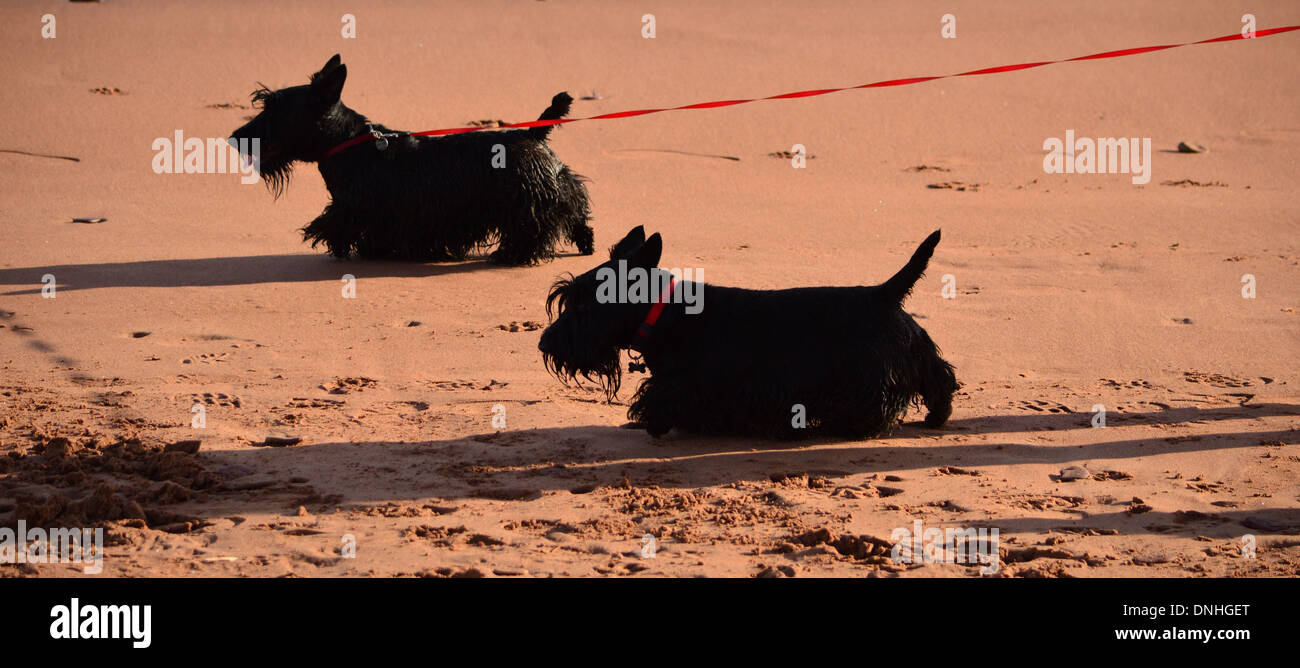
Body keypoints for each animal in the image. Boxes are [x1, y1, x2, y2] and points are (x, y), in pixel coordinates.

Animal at [231, 54, 595, 262]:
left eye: (274, 108)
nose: (235, 138)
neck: (348, 143)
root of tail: (533, 134)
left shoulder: (357, 209)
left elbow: (344, 227)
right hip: (560, 187)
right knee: (576, 211)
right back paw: (585, 244)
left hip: (526, 201)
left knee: (532, 230)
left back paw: (510, 255)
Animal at [535, 226, 956, 439]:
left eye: (584, 305)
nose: (543, 342)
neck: (664, 312)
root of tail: (883, 293)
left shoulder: (685, 384)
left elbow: (662, 403)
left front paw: (653, 423)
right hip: (917, 354)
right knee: (940, 381)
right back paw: (936, 417)